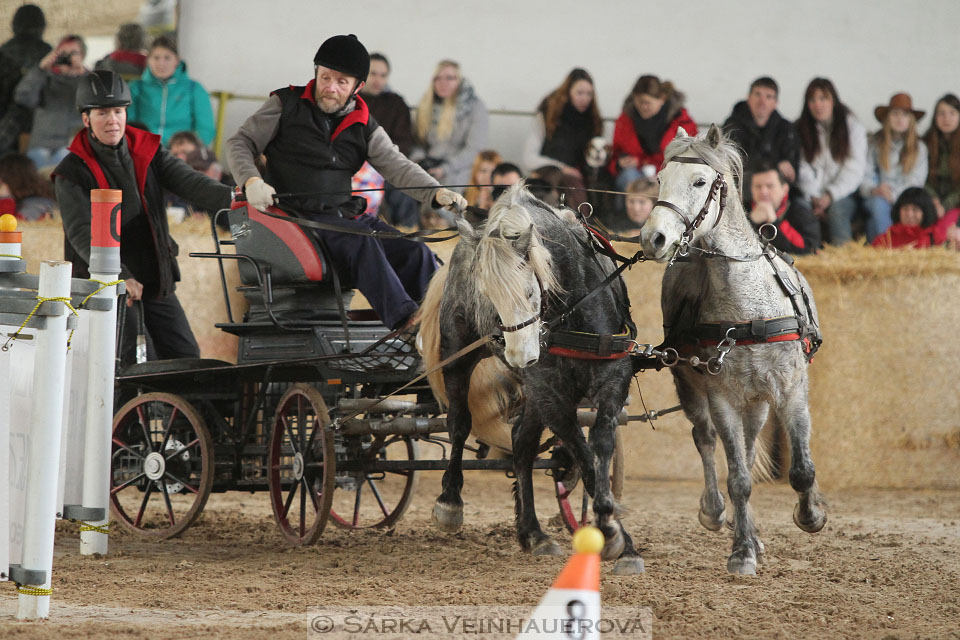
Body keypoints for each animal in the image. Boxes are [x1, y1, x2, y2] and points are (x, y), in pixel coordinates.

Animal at [636, 125, 824, 576]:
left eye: (700, 182)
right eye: (659, 179)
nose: (654, 238)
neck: (750, 310)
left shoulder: (791, 388)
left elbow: (801, 469)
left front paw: (811, 515)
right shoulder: (719, 394)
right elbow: (737, 478)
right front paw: (741, 553)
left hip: (755, 400)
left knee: (750, 444)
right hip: (691, 384)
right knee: (706, 439)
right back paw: (717, 512)